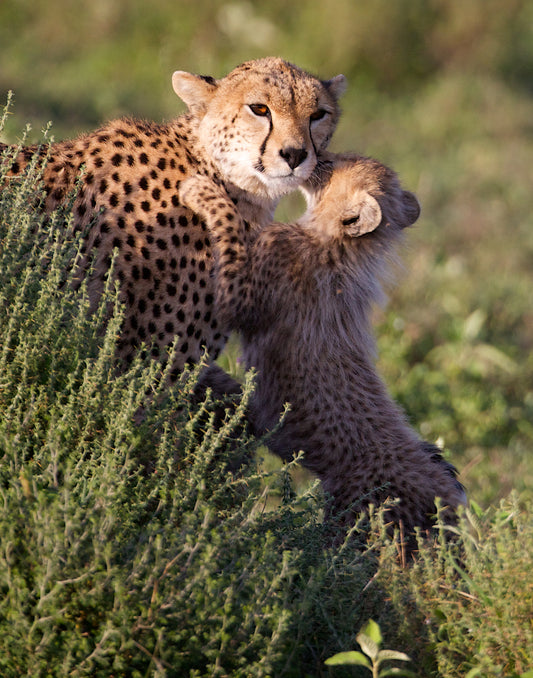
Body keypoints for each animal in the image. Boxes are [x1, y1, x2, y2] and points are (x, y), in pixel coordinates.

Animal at [179, 154, 466, 536]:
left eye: (330, 169)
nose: (319, 159)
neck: (337, 245)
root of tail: (447, 496)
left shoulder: (242, 294)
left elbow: (230, 238)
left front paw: (203, 191)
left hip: (358, 524)